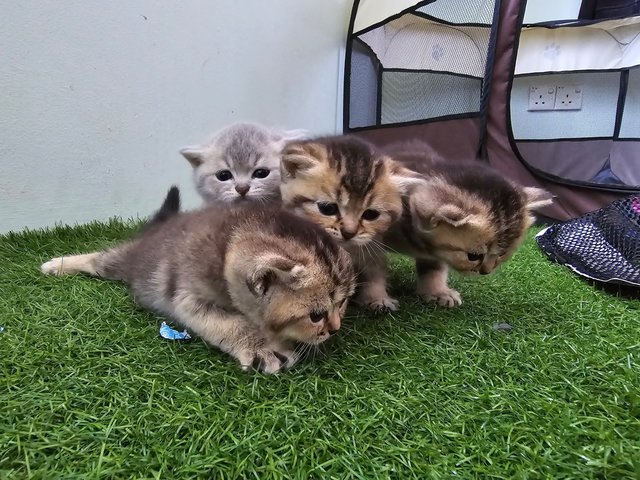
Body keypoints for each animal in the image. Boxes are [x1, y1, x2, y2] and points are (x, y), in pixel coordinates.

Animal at [41, 186, 356, 374]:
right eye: (315, 316)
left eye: (341, 304)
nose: (335, 328)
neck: (226, 247)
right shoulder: (187, 298)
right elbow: (230, 322)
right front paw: (264, 347)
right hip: (128, 262)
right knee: (100, 259)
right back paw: (57, 264)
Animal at [278, 135, 420, 316]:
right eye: (327, 208)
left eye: (371, 214)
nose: (348, 232)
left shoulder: (374, 244)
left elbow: (376, 270)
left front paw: (378, 298)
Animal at [382, 141, 552, 308]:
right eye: (473, 256)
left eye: (502, 254)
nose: (485, 271)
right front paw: (380, 300)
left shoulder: (433, 250)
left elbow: (434, 266)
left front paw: (437, 291)